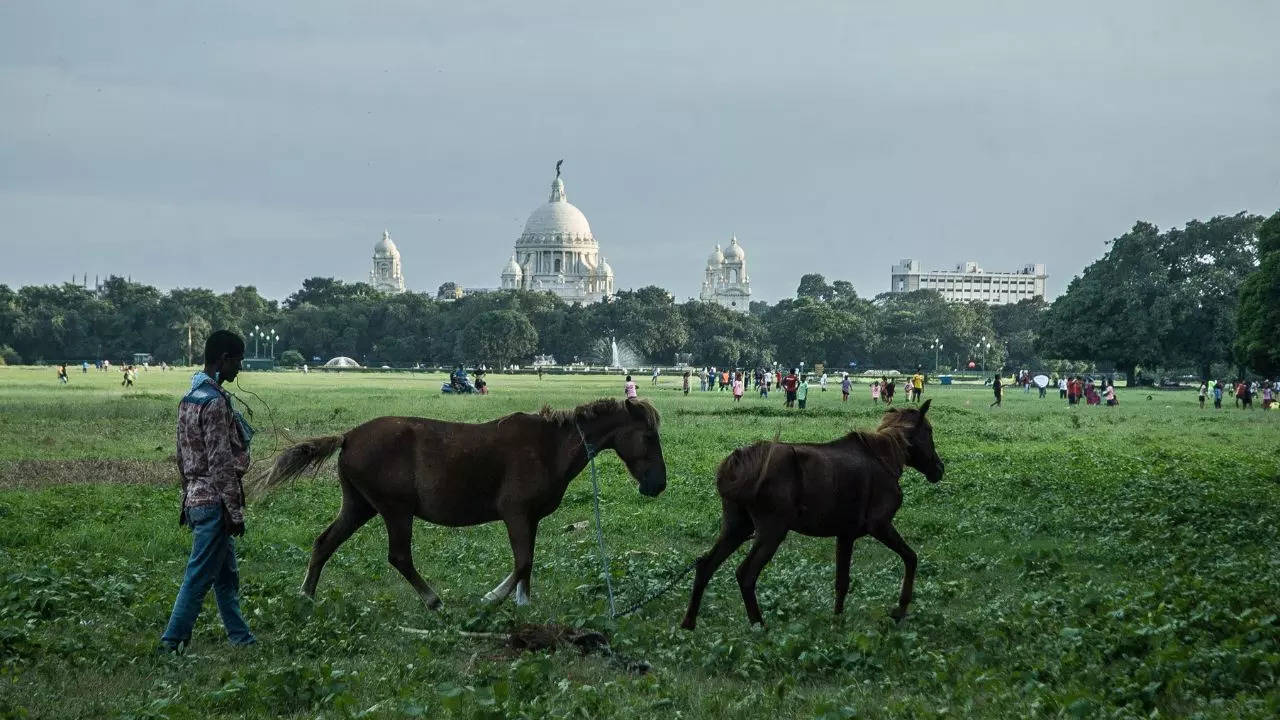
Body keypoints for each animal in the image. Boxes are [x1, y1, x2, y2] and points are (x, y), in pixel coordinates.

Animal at [253, 394, 665, 607]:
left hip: (359, 506)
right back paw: (433, 600)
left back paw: (307, 594)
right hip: (395, 510)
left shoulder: (530, 518)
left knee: (324, 543)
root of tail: (349, 436)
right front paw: (493, 598)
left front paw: (523, 604)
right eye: (648, 437)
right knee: (399, 557)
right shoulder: (515, 513)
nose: (658, 485)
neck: (549, 446)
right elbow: (522, 562)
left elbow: (528, 563)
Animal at [680, 397, 942, 627]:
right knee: (746, 574)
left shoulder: (846, 533)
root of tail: (737, 464)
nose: (939, 469)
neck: (886, 455)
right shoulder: (879, 524)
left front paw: (837, 622)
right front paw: (900, 609)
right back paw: (759, 627)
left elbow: (842, 582)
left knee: (705, 565)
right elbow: (911, 557)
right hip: (771, 530)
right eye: (929, 431)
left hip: (737, 526)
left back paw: (689, 623)